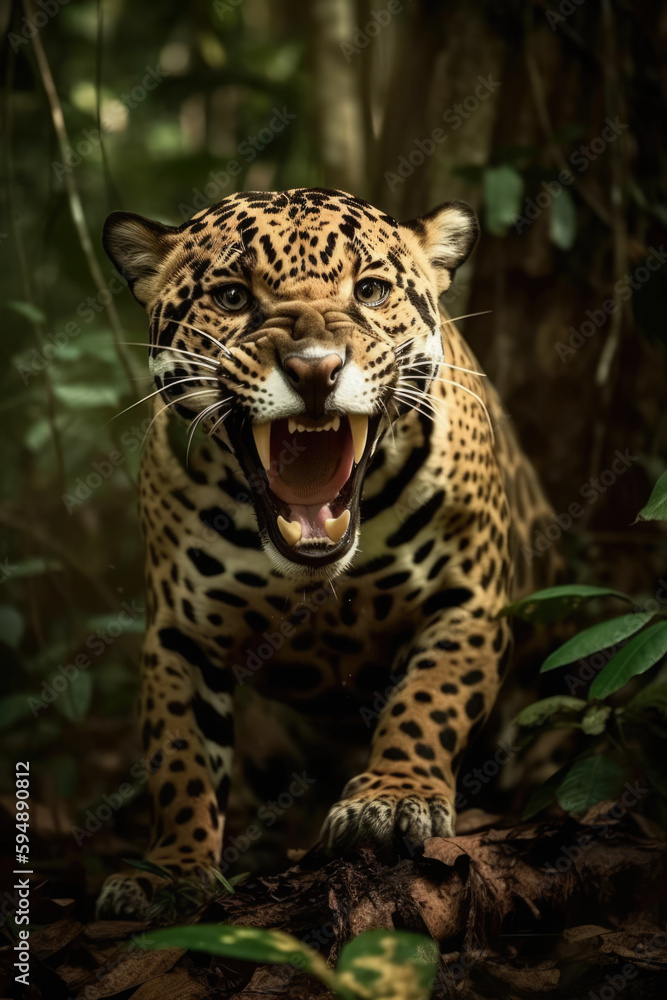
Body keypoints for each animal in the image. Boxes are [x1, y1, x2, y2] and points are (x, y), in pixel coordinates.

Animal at [96, 186, 554, 919]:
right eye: (232, 296)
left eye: (370, 291)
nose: (315, 369)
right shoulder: (178, 636)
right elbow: (179, 757)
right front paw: (171, 870)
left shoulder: (470, 600)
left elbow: (429, 699)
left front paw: (391, 800)